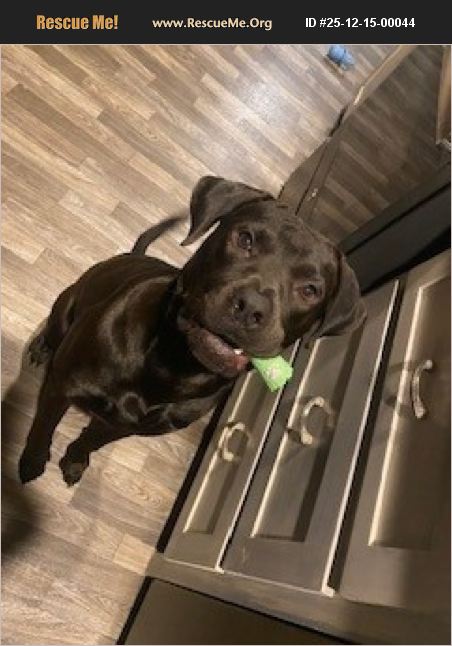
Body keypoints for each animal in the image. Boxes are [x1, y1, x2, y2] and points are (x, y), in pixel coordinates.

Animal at [18, 176, 366, 486]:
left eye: (310, 290)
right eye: (245, 239)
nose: (251, 307)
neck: (174, 365)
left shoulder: (125, 426)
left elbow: (92, 440)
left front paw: (76, 460)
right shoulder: (63, 387)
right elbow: (42, 430)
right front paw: (32, 464)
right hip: (67, 304)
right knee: (55, 329)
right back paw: (42, 347)